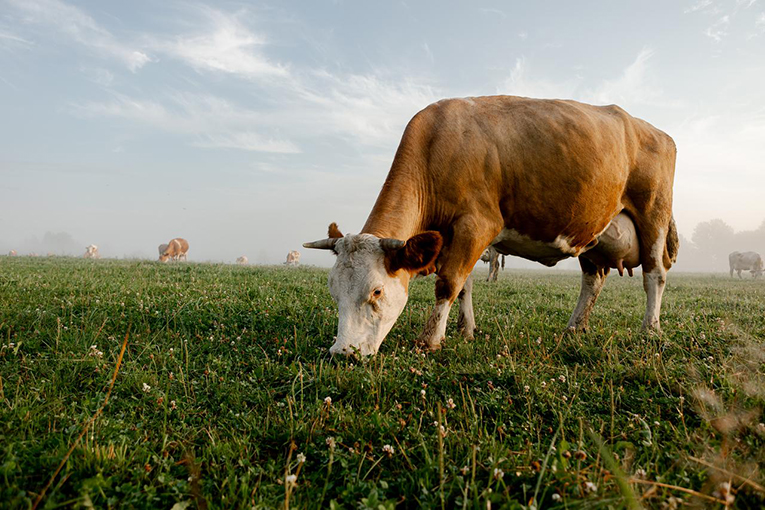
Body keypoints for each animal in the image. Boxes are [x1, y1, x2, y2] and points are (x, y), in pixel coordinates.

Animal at [302, 96, 676, 358]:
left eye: (377, 292)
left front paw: (429, 340)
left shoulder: (478, 223)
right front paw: (465, 329)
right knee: (593, 279)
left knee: (655, 274)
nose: (342, 353)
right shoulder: (451, 236)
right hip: (592, 227)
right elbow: (464, 285)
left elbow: (448, 283)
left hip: (653, 213)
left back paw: (650, 329)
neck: (438, 146)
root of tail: (653, 130)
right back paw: (574, 327)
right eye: (333, 291)